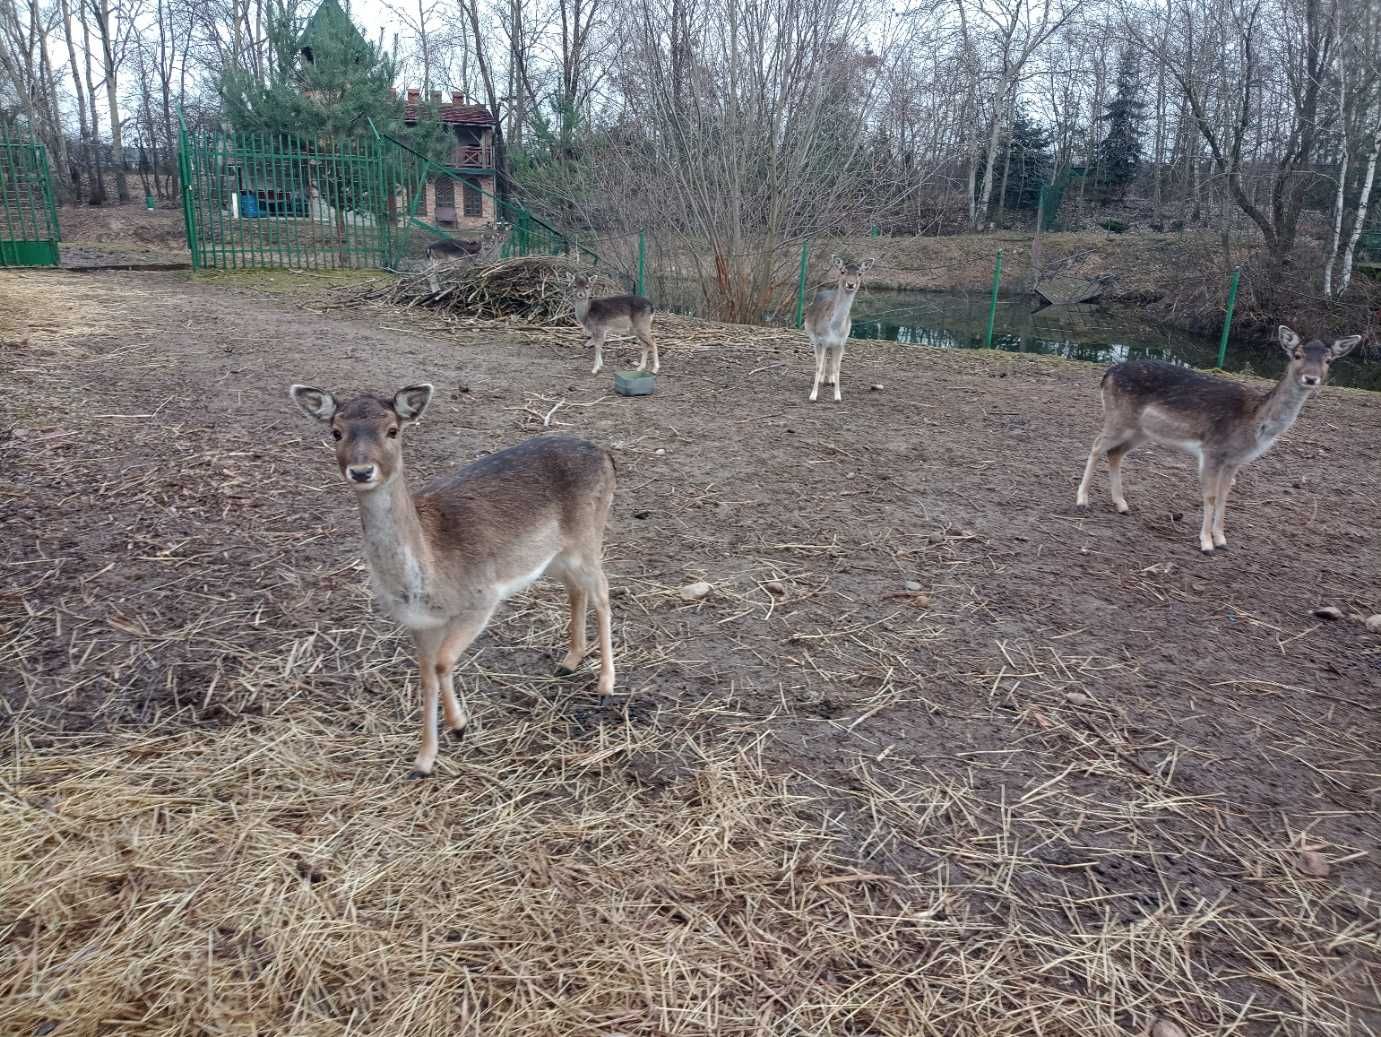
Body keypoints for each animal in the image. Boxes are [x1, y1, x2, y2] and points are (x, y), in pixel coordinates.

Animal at [290, 386, 615, 773]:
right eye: (336, 432)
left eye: (393, 430)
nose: (362, 470)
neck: (426, 577)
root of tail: (606, 455)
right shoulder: (419, 623)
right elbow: (426, 676)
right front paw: (423, 761)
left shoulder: (481, 599)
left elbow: (444, 662)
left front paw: (459, 725)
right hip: (553, 556)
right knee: (576, 589)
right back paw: (569, 661)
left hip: (588, 536)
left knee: (603, 592)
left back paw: (605, 685)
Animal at [806, 258, 878, 403]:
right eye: (843, 271)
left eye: (860, 273)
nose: (850, 284)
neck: (833, 328)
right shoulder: (820, 340)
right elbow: (818, 366)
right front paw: (813, 396)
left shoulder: (841, 343)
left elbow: (838, 367)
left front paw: (838, 396)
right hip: (814, 339)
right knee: (821, 360)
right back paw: (822, 379)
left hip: (832, 345)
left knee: (829, 358)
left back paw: (830, 380)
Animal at [1077, 324, 1358, 555]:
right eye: (1297, 355)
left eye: (1329, 360)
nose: (1311, 378)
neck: (1254, 423)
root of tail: (1108, 373)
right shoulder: (1212, 451)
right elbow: (1210, 496)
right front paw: (1206, 543)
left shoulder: (1234, 460)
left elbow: (1224, 496)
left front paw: (1222, 539)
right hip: (1118, 417)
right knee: (1096, 445)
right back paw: (1082, 500)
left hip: (1140, 431)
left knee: (1115, 453)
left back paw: (1122, 504)